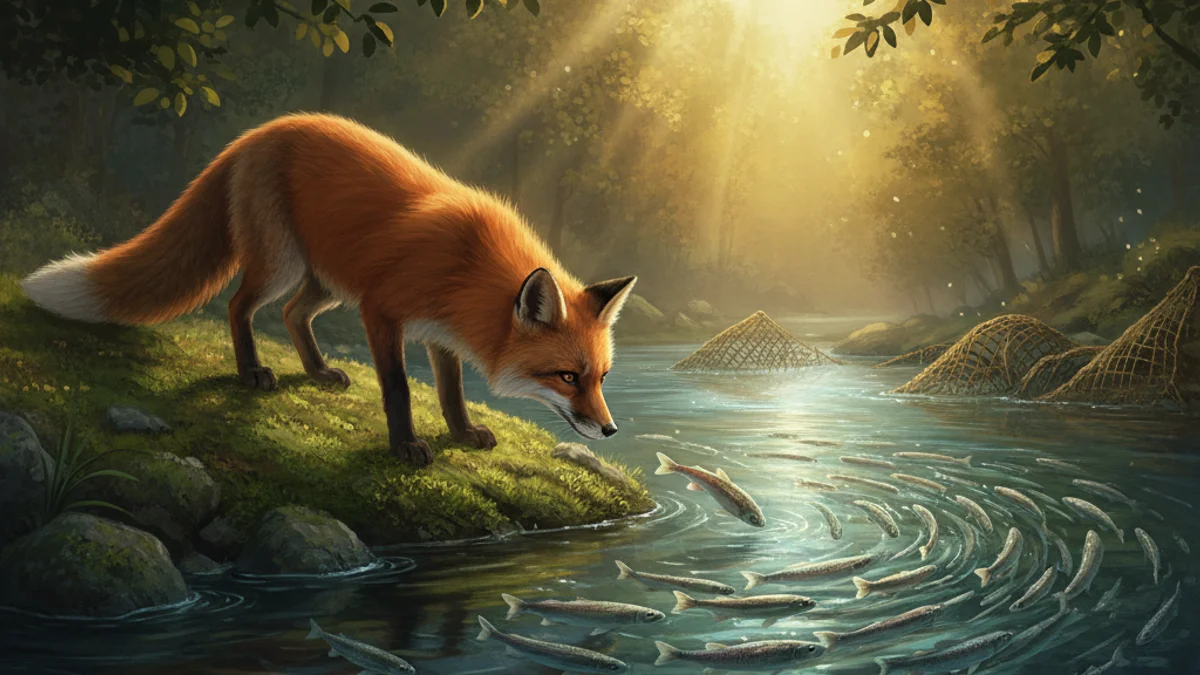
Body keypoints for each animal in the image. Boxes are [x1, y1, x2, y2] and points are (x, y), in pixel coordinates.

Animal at [21, 114, 637, 467]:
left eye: (602, 378)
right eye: (567, 377)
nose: (609, 430)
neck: (468, 267)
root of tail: (259, 131)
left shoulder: (438, 333)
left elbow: (451, 392)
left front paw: (462, 433)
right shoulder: (382, 312)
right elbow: (399, 389)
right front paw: (405, 446)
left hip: (326, 281)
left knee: (294, 315)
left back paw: (317, 372)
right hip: (284, 264)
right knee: (239, 305)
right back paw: (252, 372)